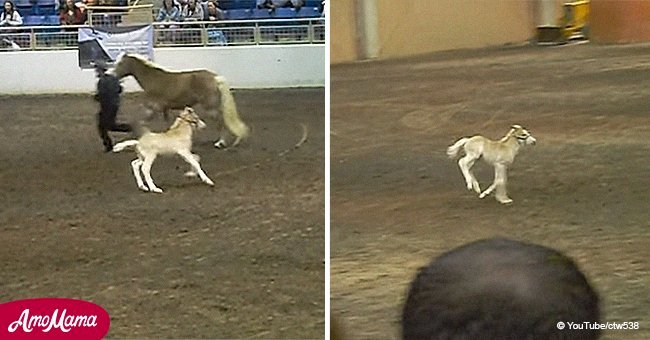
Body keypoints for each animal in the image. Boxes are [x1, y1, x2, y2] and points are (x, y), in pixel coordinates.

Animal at [110, 52, 247, 148]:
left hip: (210, 108)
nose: (110, 74)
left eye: (120, 63)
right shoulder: (163, 109)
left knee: (221, 121)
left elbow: (141, 120)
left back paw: (220, 143)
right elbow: (163, 123)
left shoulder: (155, 107)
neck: (154, 79)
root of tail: (214, 78)